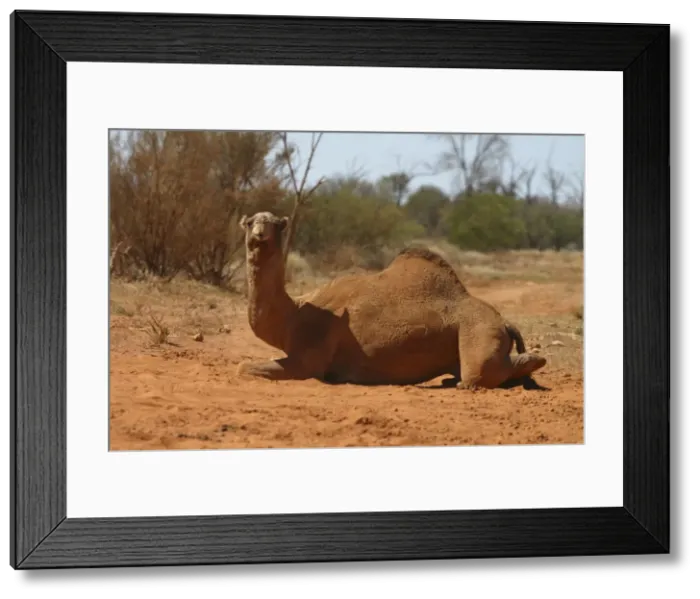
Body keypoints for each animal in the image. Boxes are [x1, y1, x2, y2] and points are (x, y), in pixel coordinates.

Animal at [235, 211, 546, 389]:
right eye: (250, 222)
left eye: (277, 225)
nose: (259, 235)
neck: (295, 313)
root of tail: (504, 322)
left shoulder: (308, 357)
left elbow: (243, 367)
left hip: (479, 330)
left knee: (478, 375)